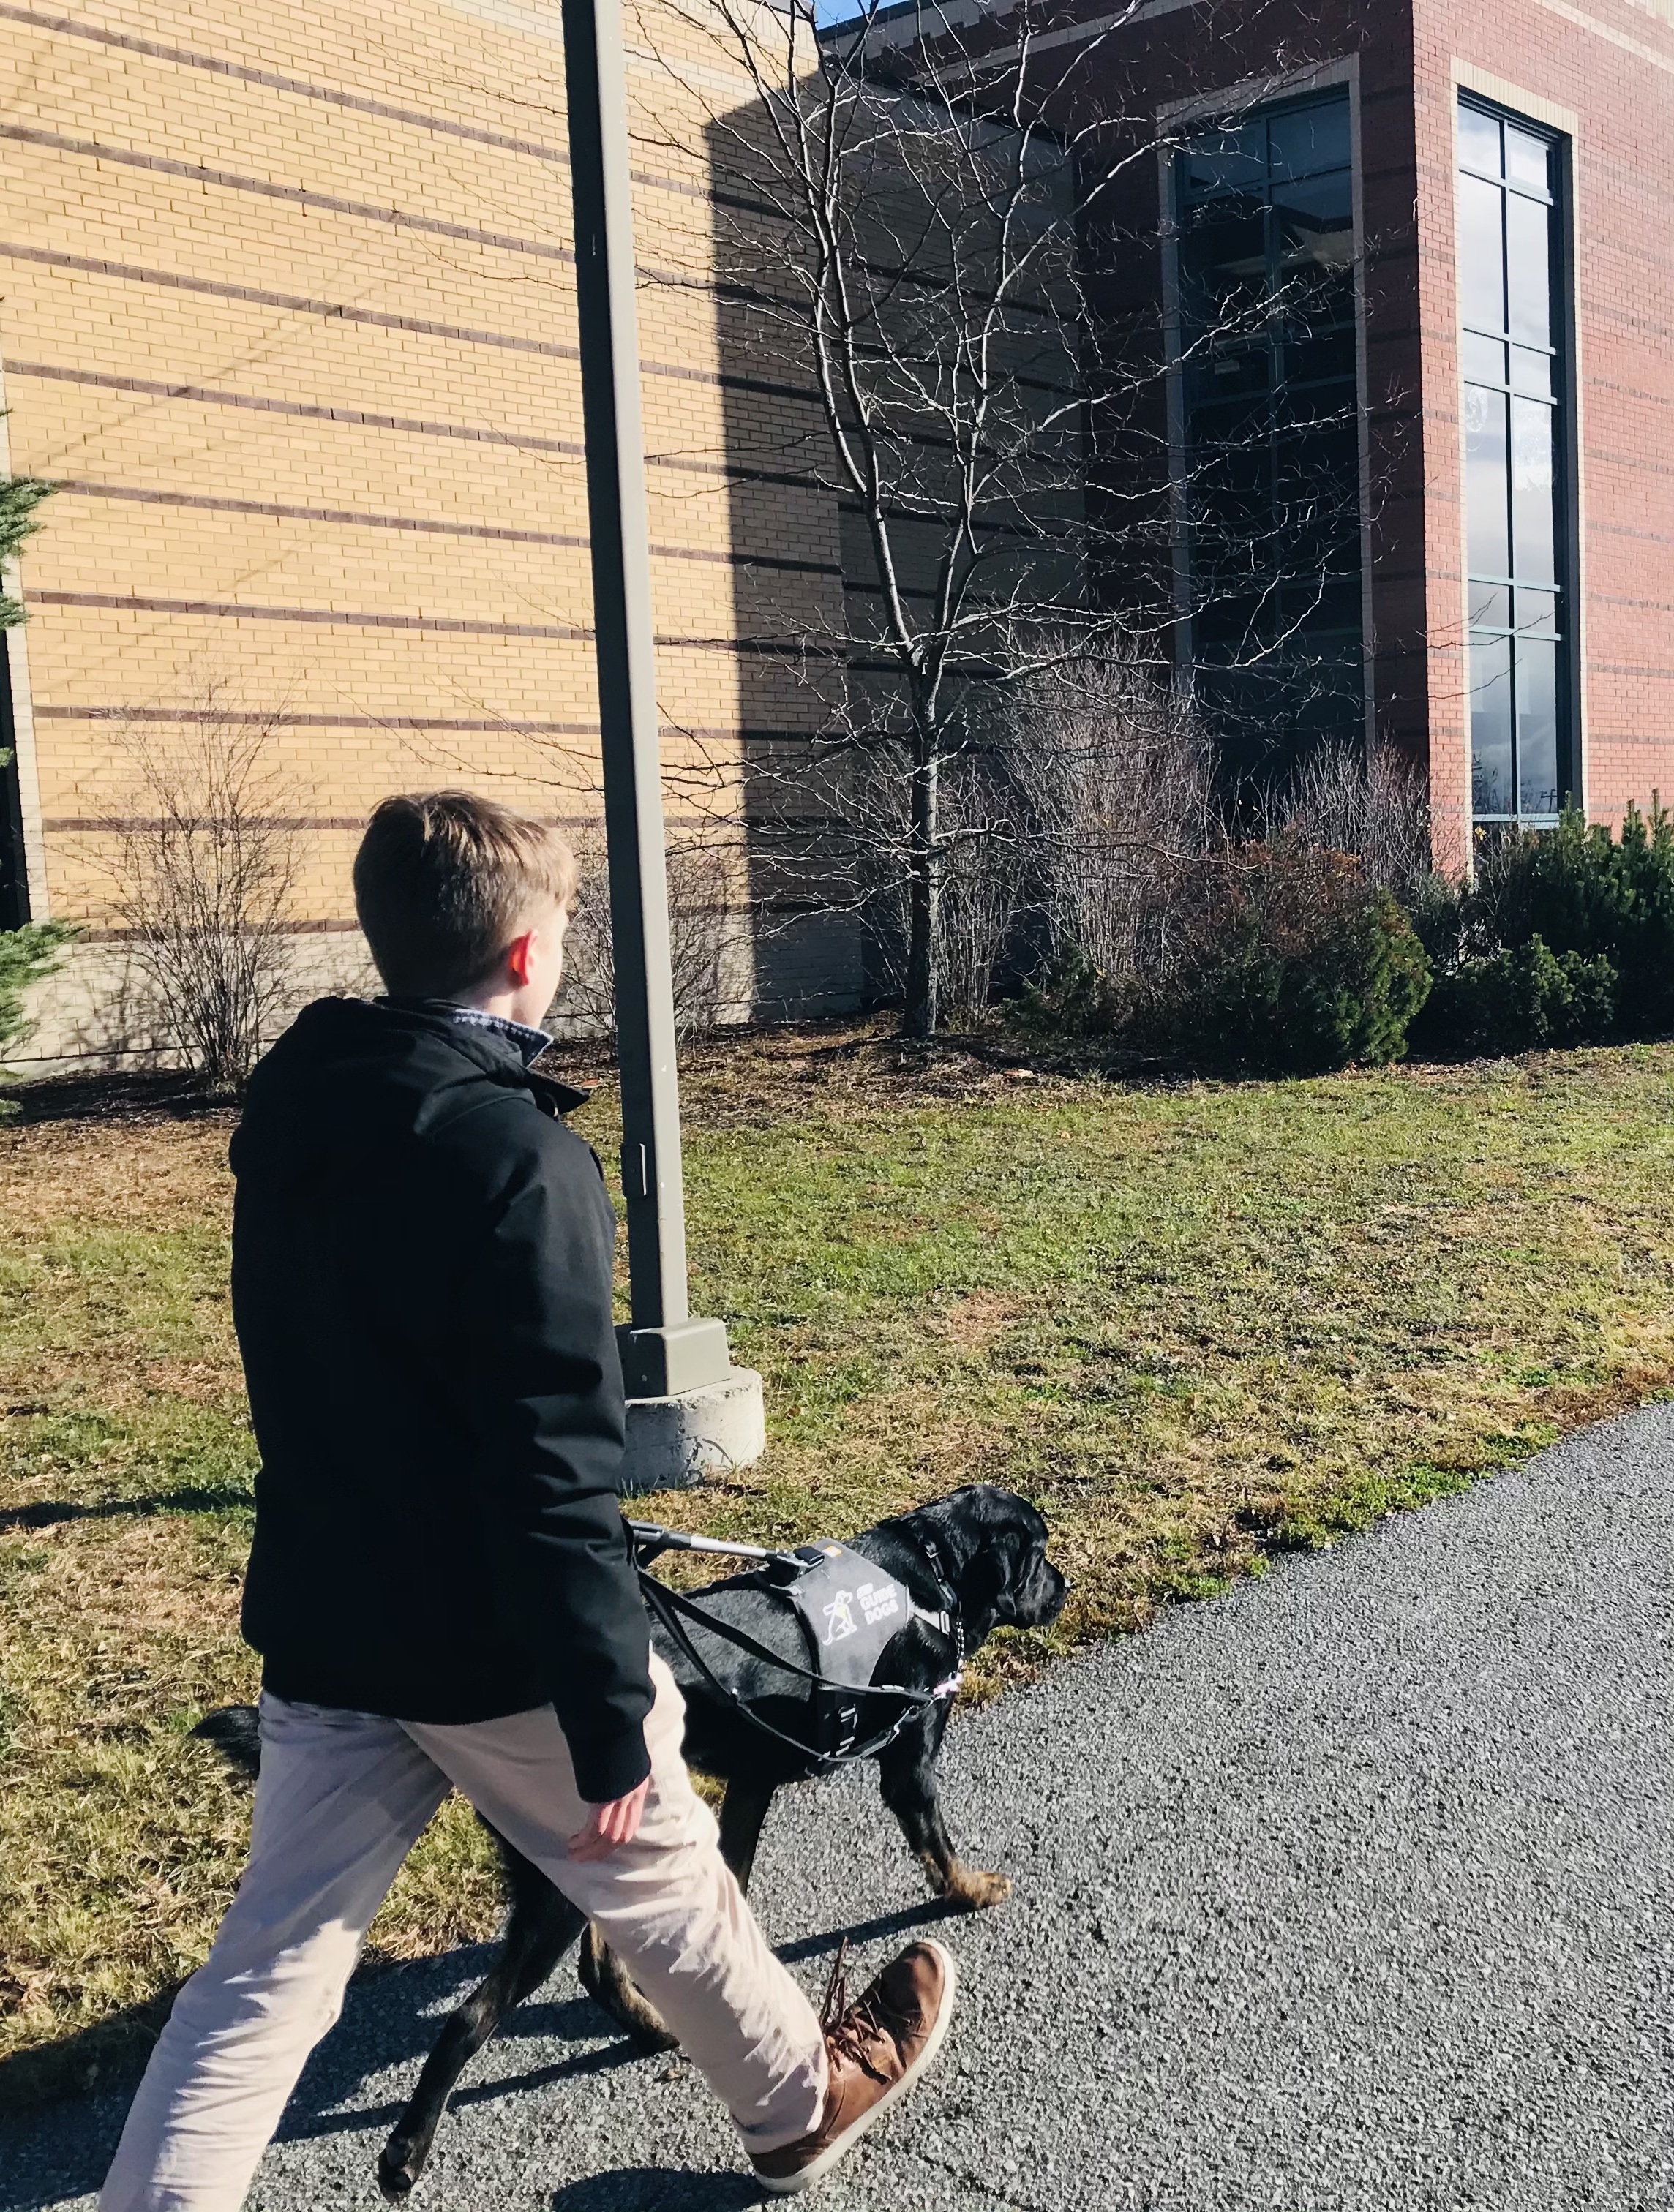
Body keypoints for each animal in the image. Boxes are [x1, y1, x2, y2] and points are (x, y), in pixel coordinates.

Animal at [192, 1486, 1056, 2194]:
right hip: (559, 1888)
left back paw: (649, 2024)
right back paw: (407, 2152)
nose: (1067, 1586)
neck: (929, 1575)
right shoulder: (909, 1765)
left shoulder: (749, 1785)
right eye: (1040, 1552)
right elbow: (937, 1844)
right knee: (478, 2014)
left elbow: (731, 1876)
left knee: (600, 1962)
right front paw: (973, 1890)